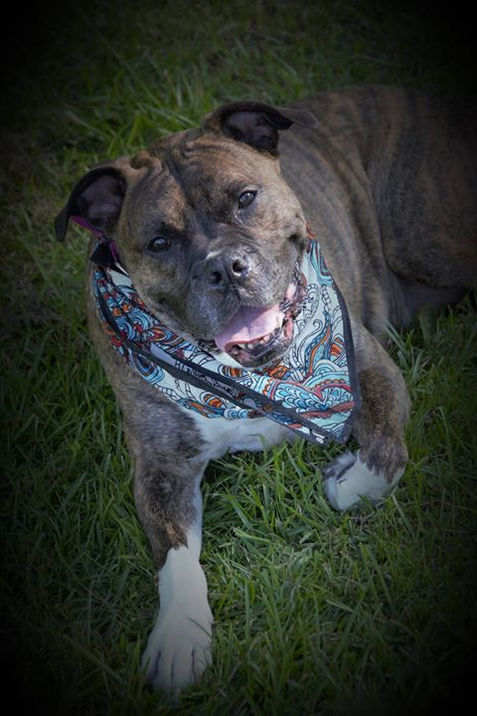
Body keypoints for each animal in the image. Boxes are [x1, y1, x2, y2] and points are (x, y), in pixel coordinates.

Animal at [55, 85, 476, 693]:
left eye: (246, 198)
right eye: (158, 241)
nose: (225, 268)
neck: (256, 375)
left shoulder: (371, 372)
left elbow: (383, 457)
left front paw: (345, 479)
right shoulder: (161, 468)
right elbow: (176, 560)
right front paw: (179, 637)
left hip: (427, 239)